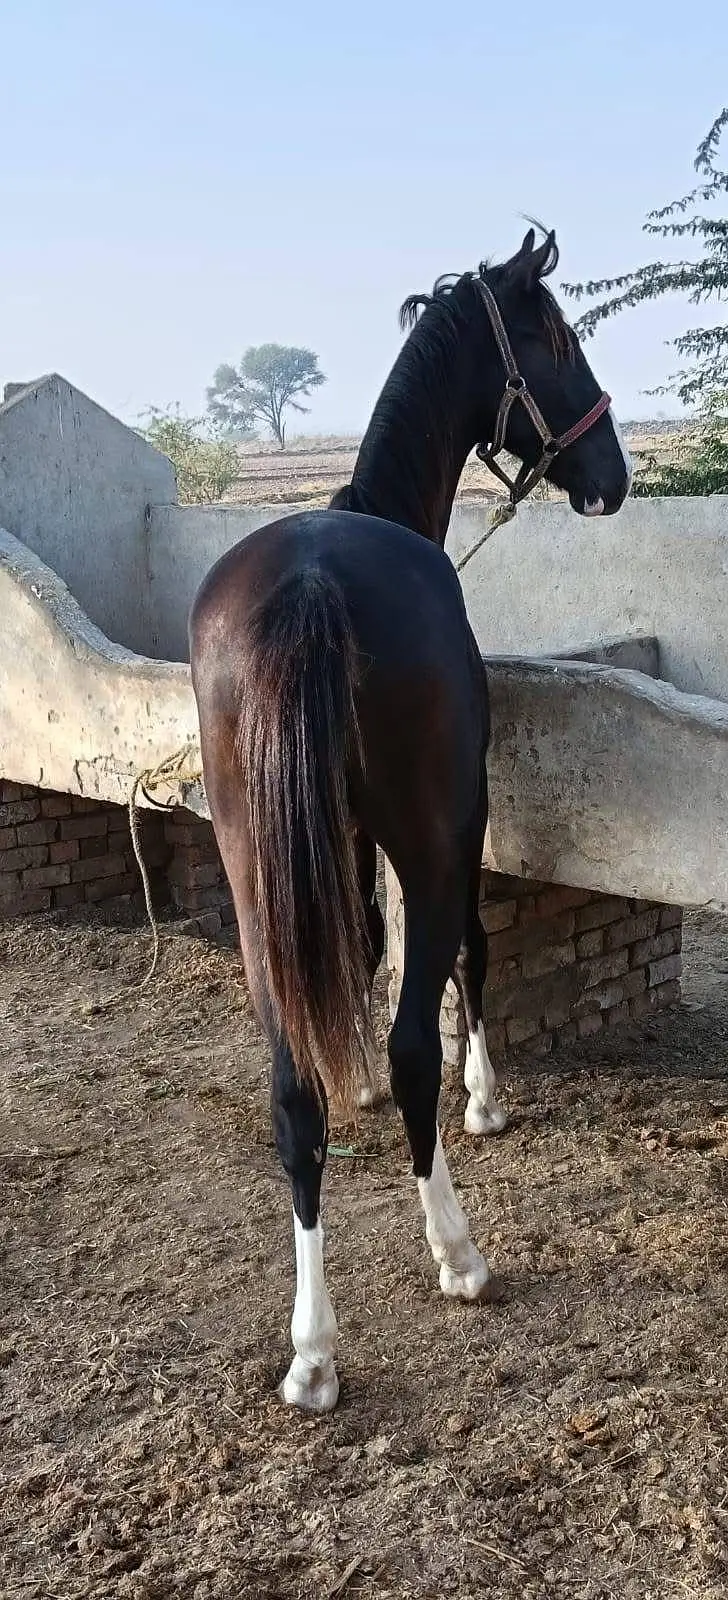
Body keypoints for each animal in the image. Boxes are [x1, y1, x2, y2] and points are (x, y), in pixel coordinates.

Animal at [189, 228, 632, 1413]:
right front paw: (484, 1099)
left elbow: (360, 948)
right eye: (554, 339)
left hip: (253, 872)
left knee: (290, 1092)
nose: (613, 476)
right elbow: (465, 956)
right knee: (408, 1042)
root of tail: (307, 586)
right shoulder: (458, 827)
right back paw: (458, 1253)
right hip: (431, 836)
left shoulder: (331, 844)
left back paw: (311, 1348)